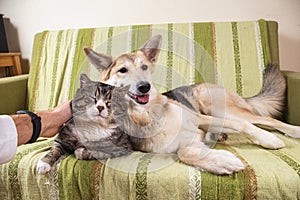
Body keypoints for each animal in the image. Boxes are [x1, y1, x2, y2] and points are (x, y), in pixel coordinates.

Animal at [82, 35, 300, 174]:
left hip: (219, 108)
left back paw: (291, 131)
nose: (145, 87)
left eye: (144, 67)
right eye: (123, 70)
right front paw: (221, 161)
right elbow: (185, 153)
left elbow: (244, 125)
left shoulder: (201, 119)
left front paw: (268, 139)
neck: (146, 114)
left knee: (264, 121)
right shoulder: (189, 142)